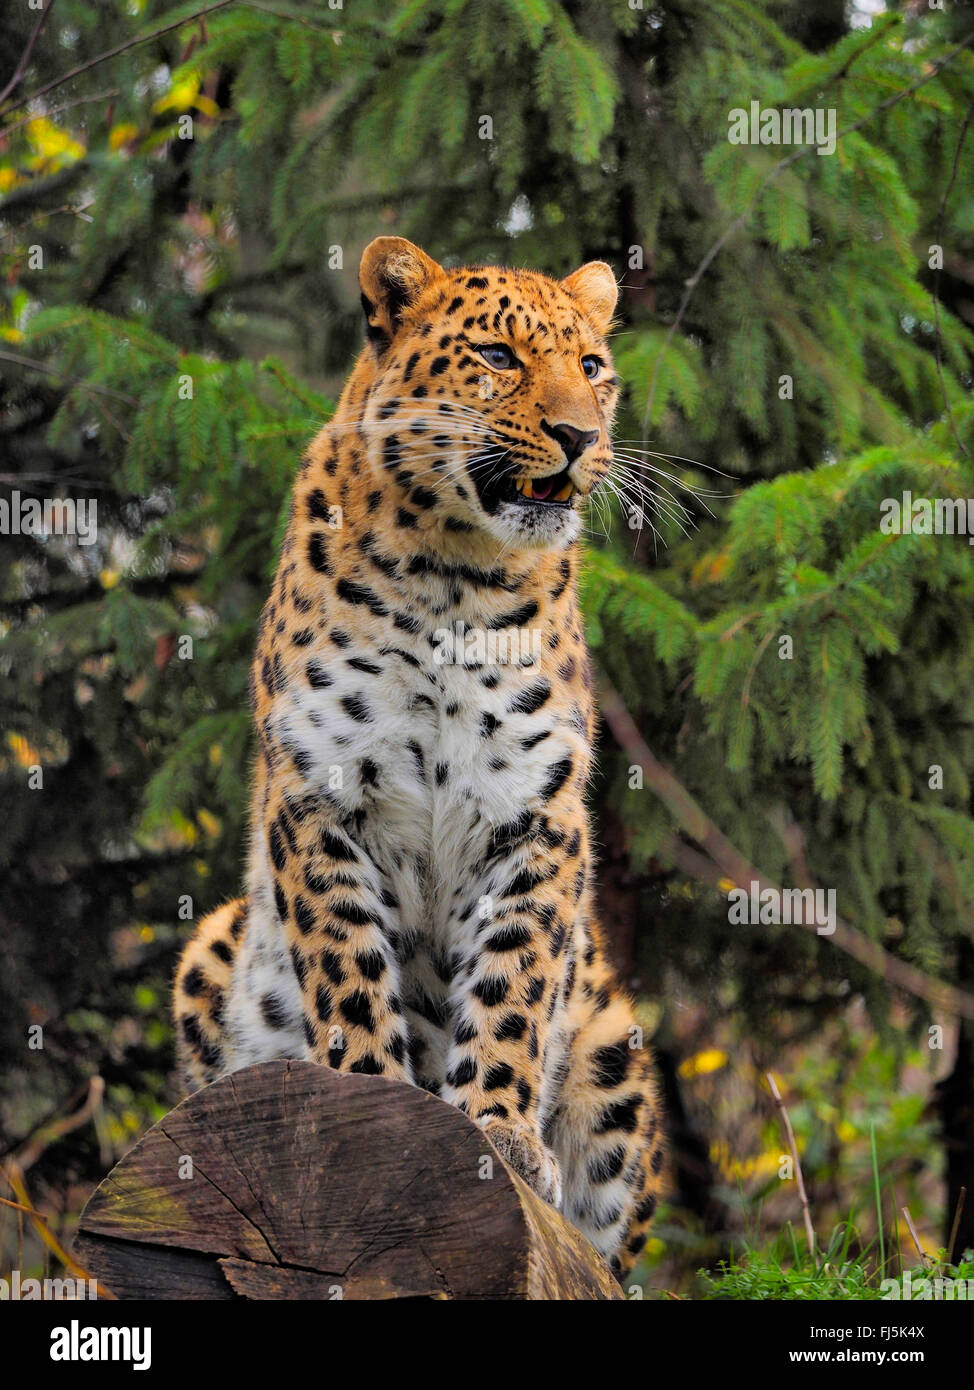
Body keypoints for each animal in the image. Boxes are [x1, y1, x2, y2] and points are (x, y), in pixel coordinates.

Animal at [172, 236, 661, 1278]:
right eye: (499, 357)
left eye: (592, 366)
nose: (578, 435)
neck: (456, 583)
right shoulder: (318, 797)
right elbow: (348, 969)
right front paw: (370, 1096)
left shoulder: (537, 816)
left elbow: (513, 985)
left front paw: (500, 1130)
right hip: (213, 947)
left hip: (615, 1042)